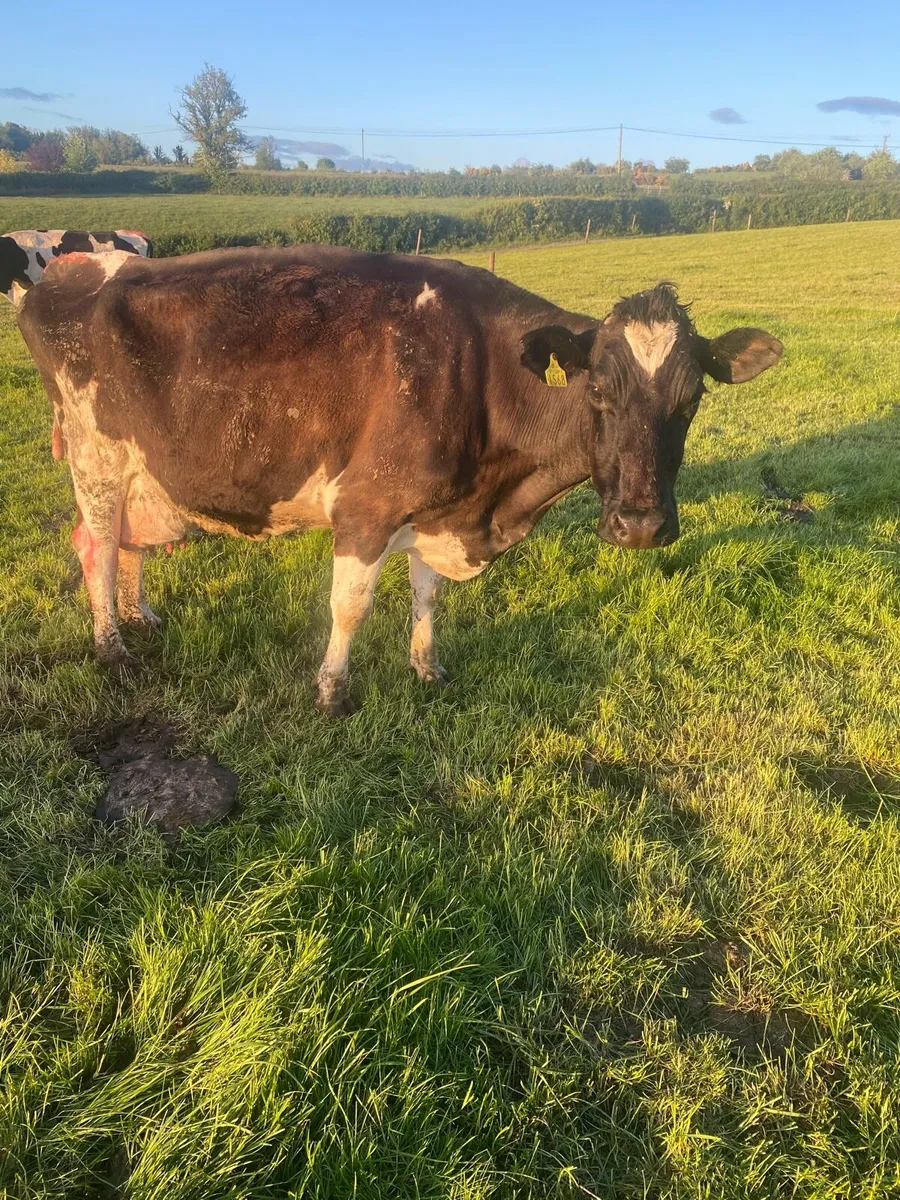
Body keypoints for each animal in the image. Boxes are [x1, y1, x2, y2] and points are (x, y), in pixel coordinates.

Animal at [16, 245, 782, 714]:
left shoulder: (440, 511)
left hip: (141, 472)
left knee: (127, 543)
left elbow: (427, 594)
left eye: (693, 400)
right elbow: (350, 606)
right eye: (596, 391)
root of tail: (69, 270)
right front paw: (331, 692)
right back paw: (111, 648)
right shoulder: (367, 505)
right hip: (95, 455)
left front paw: (425, 668)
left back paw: (139, 618)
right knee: (95, 546)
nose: (641, 525)